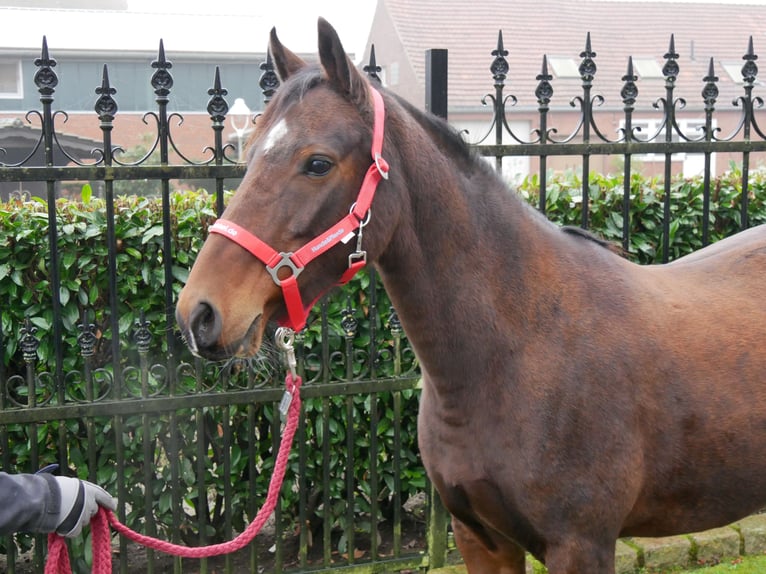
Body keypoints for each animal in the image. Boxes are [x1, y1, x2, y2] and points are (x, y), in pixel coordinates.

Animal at [176, 19, 766, 574]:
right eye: (249, 153)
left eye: (317, 162)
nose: (198, 314)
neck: (519, 349)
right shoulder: (481, 538)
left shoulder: (582, 547)